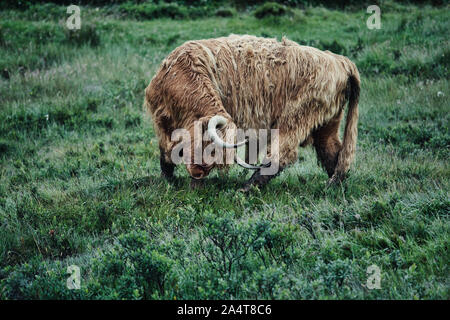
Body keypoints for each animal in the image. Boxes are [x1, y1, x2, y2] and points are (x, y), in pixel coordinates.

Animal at [146, 35, 360, 190]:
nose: (199, 173)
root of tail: (339, 60)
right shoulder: (163, 121)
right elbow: (167, 151)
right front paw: (173, 181)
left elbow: (167, 152)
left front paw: (185, 184)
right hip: (327, 123)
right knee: (332, 151)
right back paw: (333, 186)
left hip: (295, 118)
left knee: (281, 155)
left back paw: (246, 188)